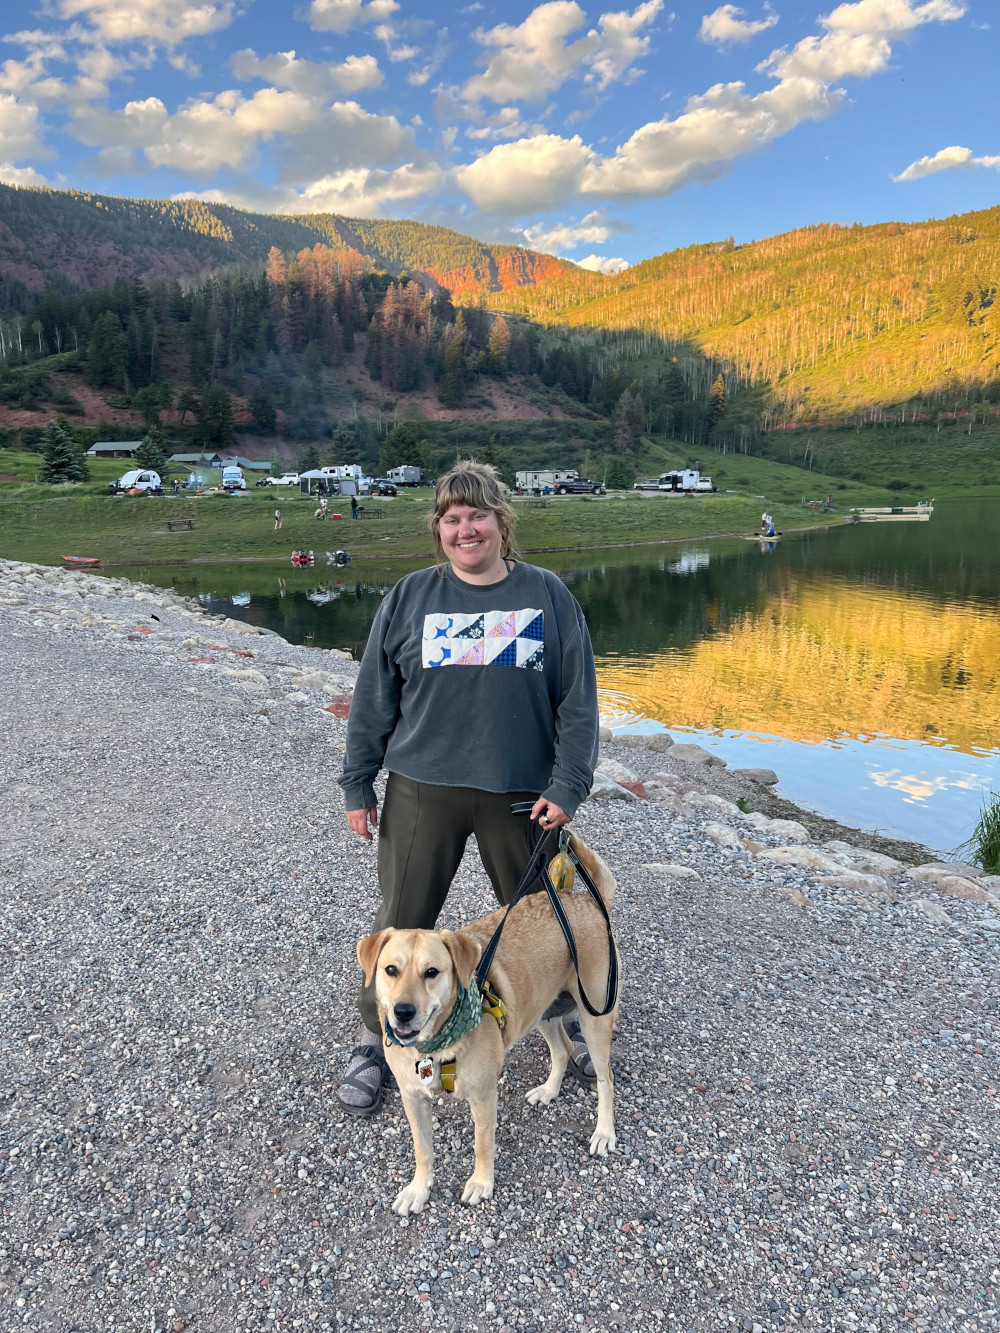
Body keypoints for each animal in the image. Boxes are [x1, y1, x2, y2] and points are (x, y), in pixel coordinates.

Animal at [357, 837, 616, 1215]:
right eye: (391, 970)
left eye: (431, 972)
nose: (403, 1012)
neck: (434, 1047)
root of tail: (588, 902)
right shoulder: (412, 1098)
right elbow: (422, 1150)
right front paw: (419, 1189)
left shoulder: (482, 1097)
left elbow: (482, 1144)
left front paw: (481, 1183)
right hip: (540, 1011)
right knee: (563, 1049)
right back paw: (549, 1090)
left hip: (595, 1018)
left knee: (605, 1077)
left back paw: (605, 1132)